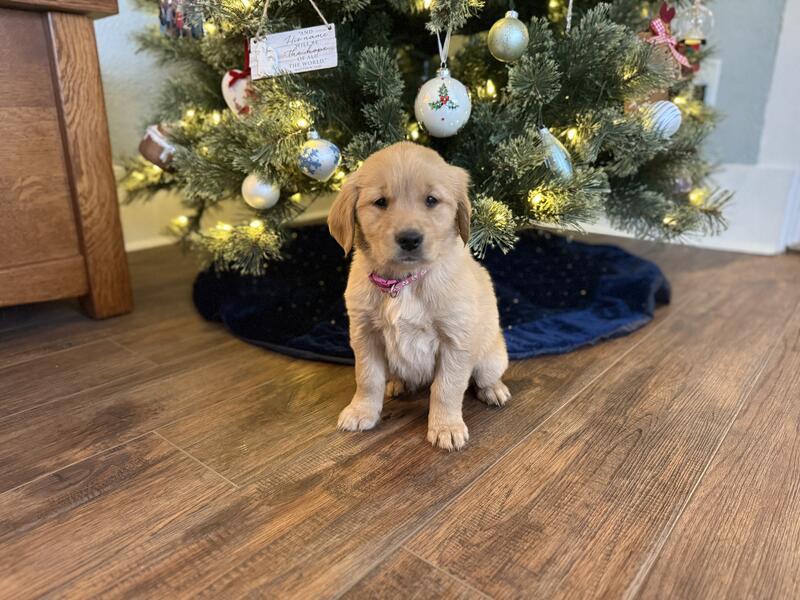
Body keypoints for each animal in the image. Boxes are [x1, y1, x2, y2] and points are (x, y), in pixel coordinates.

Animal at [327, 142, 510, 450]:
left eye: (431, 200)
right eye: (380, 202)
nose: (410, 239)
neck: (404, 282)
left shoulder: (455, 340)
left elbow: (447, 388)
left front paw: (446, 427)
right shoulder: (365, 334)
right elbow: (367, 377)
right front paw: (361, 411)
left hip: (490, 358)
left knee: (485, 376)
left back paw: (494, 390)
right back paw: (396, 384)